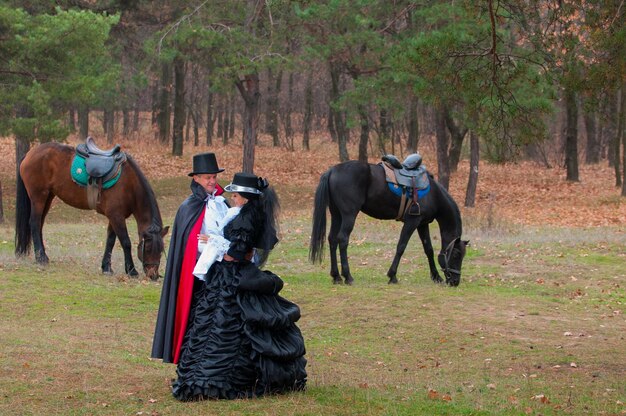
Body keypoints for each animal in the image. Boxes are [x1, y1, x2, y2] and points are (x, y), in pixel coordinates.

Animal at [15, 141, 168, 282]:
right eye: (147, 249)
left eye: (161, 250)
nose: (153, 275)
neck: (129, 183)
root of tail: (29, 153)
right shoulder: (116, 216)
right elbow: (125, 242)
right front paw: (131, 271)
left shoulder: (114, 217)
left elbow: (110, 241)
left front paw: (106, 267)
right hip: (38, 197)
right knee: (34, 223)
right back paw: (40, 258)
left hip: (48, 197)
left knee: (40, 224)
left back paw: (43, 256)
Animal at [310, 160, 466, 286]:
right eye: (457, 254)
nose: (455, 281)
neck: (433, 194)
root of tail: (332, 170)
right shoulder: (412, 222)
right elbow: (401, 246)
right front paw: (392, 276)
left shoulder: (422, 224)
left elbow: (428, 250)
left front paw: (436, 276)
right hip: (349, 215)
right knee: (342, 239)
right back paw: (348, 276)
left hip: (337, 215)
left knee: (332, 239)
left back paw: (336, 276)